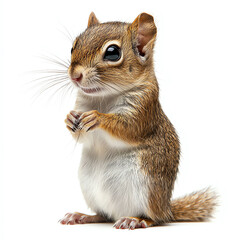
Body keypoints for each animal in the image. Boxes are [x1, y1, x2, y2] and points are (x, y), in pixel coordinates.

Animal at [59, 12, 218, 230]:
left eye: (112, 53)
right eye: (73, 45)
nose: (75, 75)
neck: (103, 97)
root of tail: (167, 209)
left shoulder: (144, 109)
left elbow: (128, 129)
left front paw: (97, 117)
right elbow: (85, 138)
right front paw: (69, 118)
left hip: (149, 191)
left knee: (155, 219)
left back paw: (135, 219)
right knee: (104, 215)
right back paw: (82, 216)